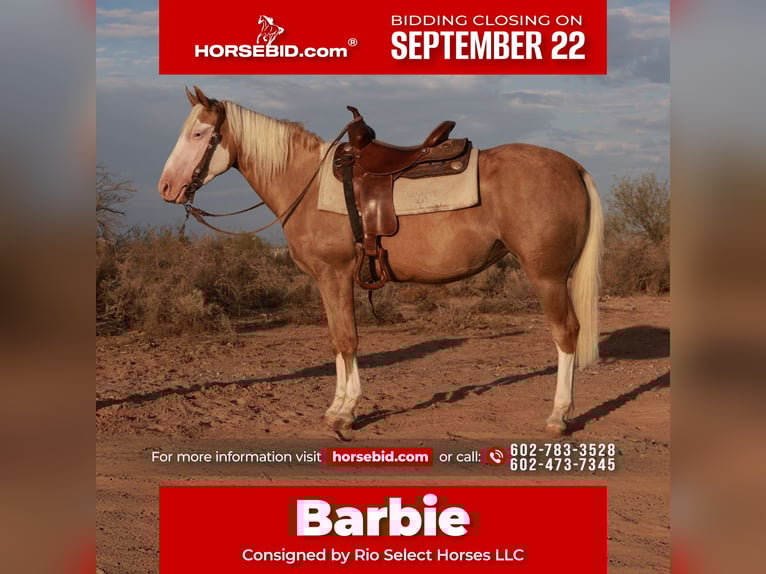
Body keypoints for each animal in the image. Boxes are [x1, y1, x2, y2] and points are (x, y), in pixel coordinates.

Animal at [158, 86, 603, 436]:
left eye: (198, 133)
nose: (166, 187)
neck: (306, 182)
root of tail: (574, 166)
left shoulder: (335, 275)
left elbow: (347, 340)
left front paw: (346, 412)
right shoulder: (327, 281)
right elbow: (337, 341)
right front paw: (337, 407)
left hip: (547, 275)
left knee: (566, 333)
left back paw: (558, 416)